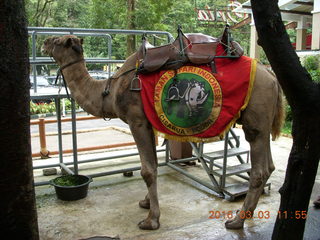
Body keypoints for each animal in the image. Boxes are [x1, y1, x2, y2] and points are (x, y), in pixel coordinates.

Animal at [41, 34, 284, 230]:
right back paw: (249, 213)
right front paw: (146, 202)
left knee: (258, 170)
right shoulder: (148, 123)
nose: (44, 42)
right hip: (263, 123)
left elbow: (147, 170)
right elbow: (154, 166)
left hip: (255, 119)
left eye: (59, 41)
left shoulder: (136, 121)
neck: (108, 92)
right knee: (270, 166)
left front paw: (151, 220)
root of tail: (271, 75)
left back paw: (236, 221)